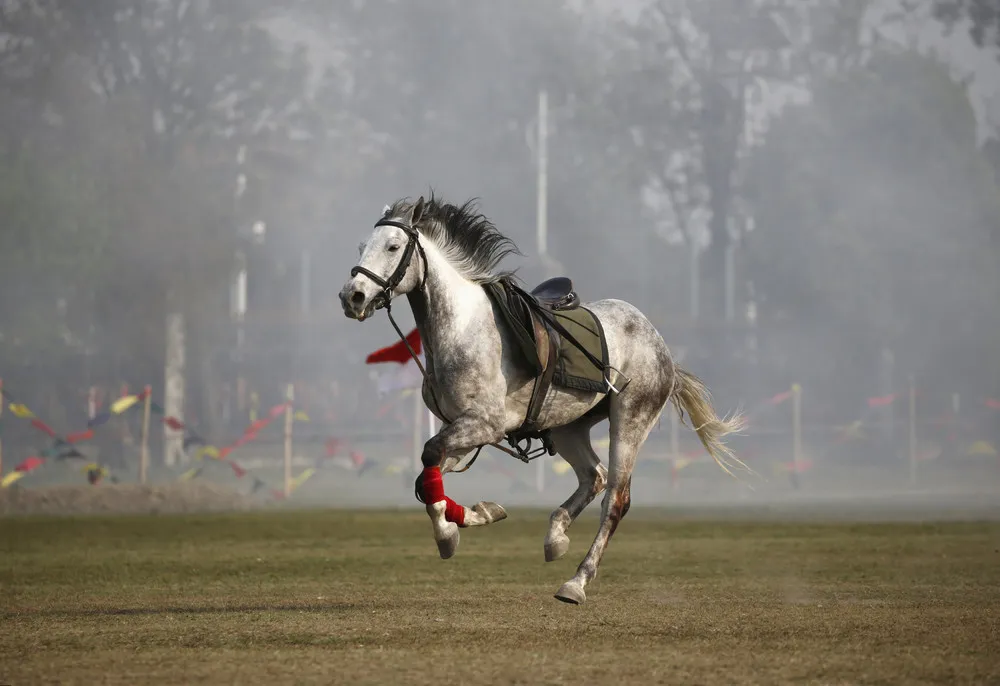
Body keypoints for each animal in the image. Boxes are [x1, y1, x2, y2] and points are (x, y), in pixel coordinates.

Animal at [340, 196, 748, 604]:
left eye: (393, 247)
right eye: (362, 247)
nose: (352, 296)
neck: (463, 331)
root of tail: (659, 344)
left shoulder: (484, 425)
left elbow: (428, 461)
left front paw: (449, 534)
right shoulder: (462, 428)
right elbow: (428, 479)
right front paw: (477, 516)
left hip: (630, 422)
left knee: (615, 499)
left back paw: (576, 582)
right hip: (568, 428)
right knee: (594, 478)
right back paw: (556, 536)